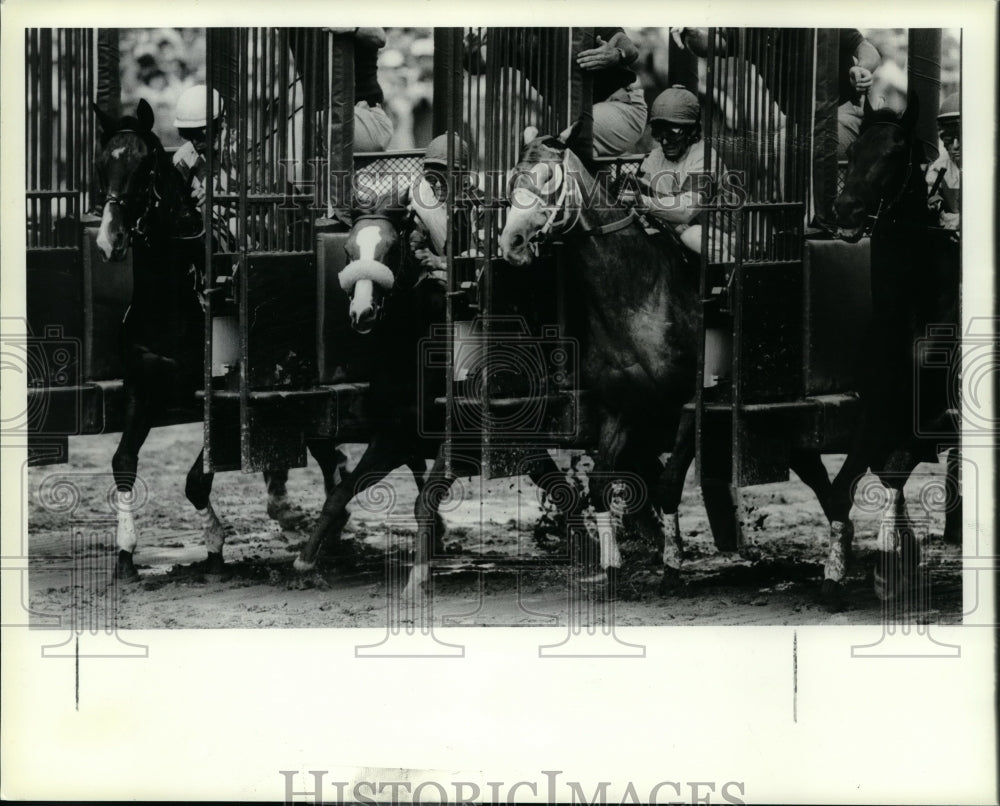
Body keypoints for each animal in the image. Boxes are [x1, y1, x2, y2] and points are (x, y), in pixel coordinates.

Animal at [94, 101, 344, 580]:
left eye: (145, 167)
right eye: (103, 165)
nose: (109, 239)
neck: (172, 298)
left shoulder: (218, 398)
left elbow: (198, 479)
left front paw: (213, 548)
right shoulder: (143, 385)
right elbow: (122, 463)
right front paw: (125, 553)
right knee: (330, 455)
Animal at [828, 94, 960, 608]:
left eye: (894, 152)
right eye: (854, 149)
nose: (846, 209)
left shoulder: (930, 422)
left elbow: (891, 474)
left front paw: (892, 566)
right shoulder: (877, 413)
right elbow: (845, 487)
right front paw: (840, 576)